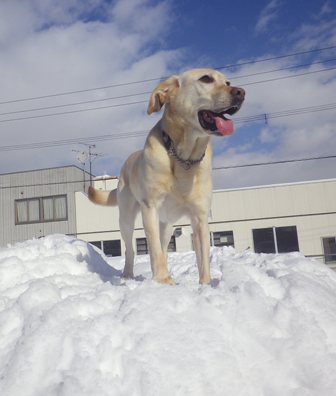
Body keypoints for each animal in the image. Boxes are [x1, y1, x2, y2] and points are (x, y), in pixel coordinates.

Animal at [88, 69, 245, 284]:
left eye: (228, 82)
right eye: (206, 78)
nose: (241, 92)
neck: (184, 158)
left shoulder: (200, 216)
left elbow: (202, 257)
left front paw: (205, 284)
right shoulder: (150, 209)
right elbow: (153, 250)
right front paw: (163, 281)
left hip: (168, 225)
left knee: (163, 248)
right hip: (126, 218)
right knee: (131, 250)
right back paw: (128, 275)